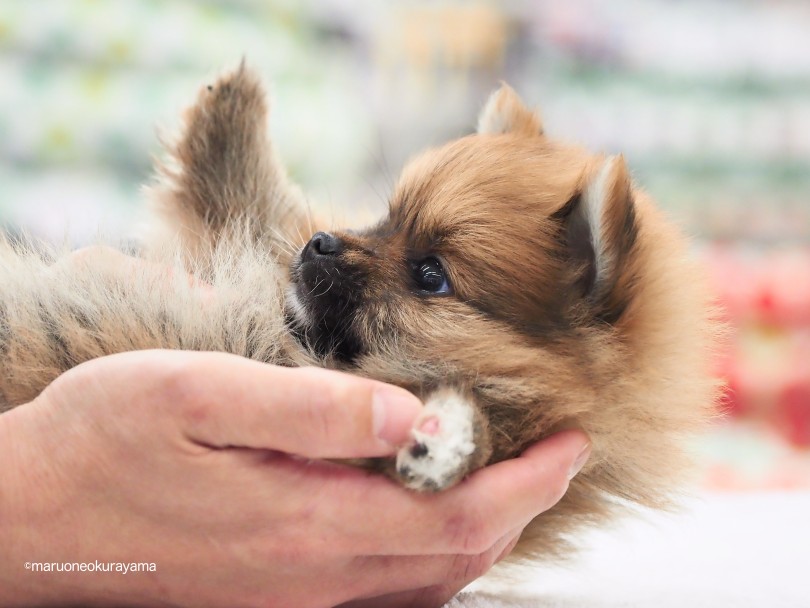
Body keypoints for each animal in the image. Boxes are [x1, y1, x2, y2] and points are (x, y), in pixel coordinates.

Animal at [1, 65, 720, 560]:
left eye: (431, 276)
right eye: (384, 220)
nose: (320, 243)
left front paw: (448, 438)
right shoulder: (253, 244)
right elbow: (246, 202)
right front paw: (229, 110)